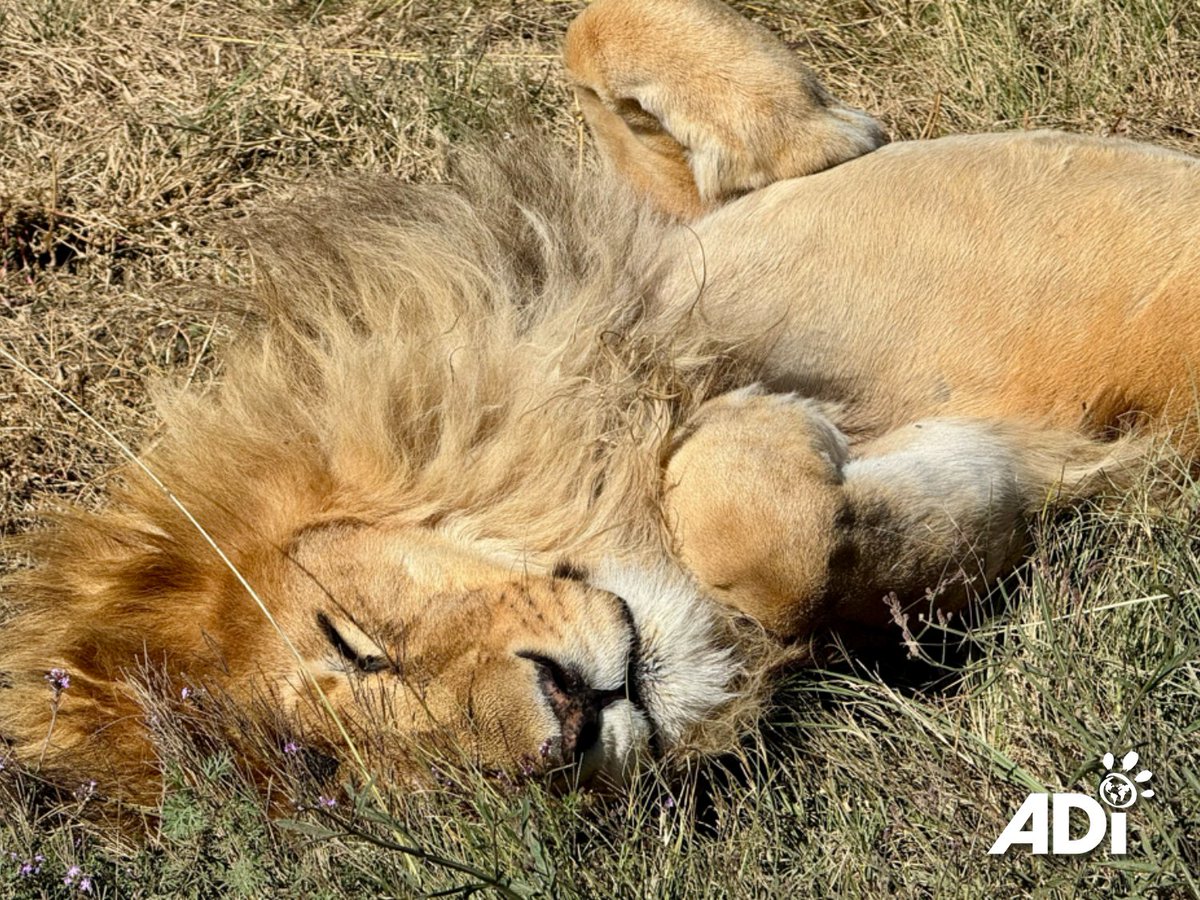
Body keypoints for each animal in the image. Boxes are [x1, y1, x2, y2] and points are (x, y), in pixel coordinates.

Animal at [1, 0, 1198, 807]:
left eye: (354, 643)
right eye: (452, 790)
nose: (565, 727)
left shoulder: (658, 233)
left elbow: (594, 35)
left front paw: (812, 132)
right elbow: (780, 535)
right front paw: (781, 442)